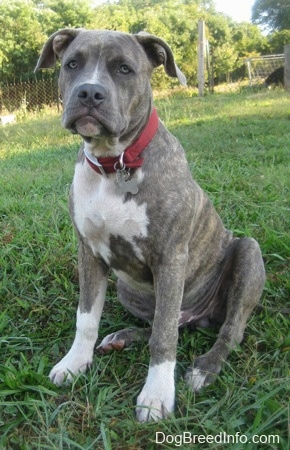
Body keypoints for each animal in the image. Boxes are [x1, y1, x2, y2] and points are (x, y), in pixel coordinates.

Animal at [35, 28, 266, 422]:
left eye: (124, 69)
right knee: (166, 321)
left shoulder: (170, 258)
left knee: (222, 330)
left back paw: (205, 368)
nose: (89, 93)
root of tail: (199, 317)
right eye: (72, 64)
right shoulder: (88, 252)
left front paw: (157, 395)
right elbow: (86, 318)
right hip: (128, 289)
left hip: (248, 253)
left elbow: (164, 336)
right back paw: (121, 338)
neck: (114, 163)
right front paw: (74, 363)